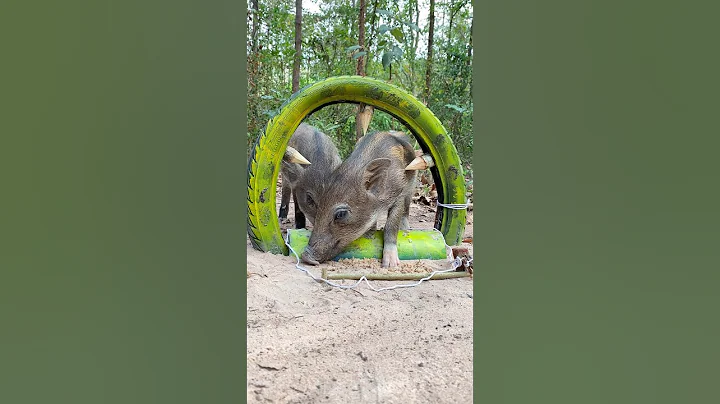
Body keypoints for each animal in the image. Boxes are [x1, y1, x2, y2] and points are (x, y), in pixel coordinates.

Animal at [300, 130, 418, 268]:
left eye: (341, 214)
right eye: (318, 206)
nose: (305, 257)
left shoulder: (399, 194)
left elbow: (391, 225)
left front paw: (390, 265)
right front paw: (370, 234)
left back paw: (405, 229)